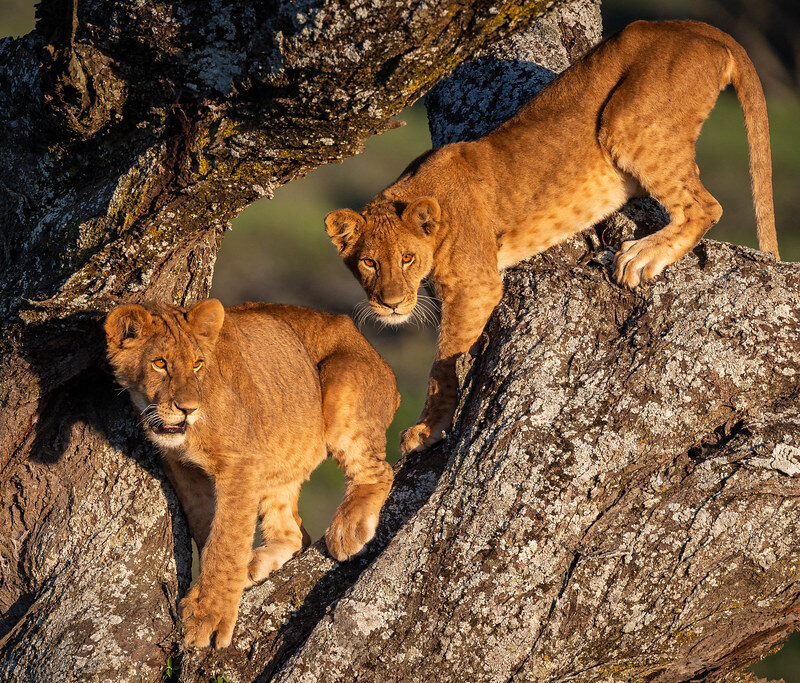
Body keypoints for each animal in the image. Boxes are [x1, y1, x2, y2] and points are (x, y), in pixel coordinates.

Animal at [105, 299, 399, 648]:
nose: (187, 409)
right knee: (295, 533)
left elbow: (228, 538)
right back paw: (256, 562)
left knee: (380, 470)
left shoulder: (240, 464)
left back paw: (347, 530)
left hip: (342, 384)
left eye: (197, 365)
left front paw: (209, 615)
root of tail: (374, 351)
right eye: (159, 363)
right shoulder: (182, 468)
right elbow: (208, 528)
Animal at [324, 20, 779, 455]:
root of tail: (693, 26)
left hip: (626, 122)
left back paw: (640, 257)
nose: (390, 304)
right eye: (369, 262)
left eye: (406, 258)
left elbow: (443, 361)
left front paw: (427, 428)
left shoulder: (476, 285)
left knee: (705, 206)